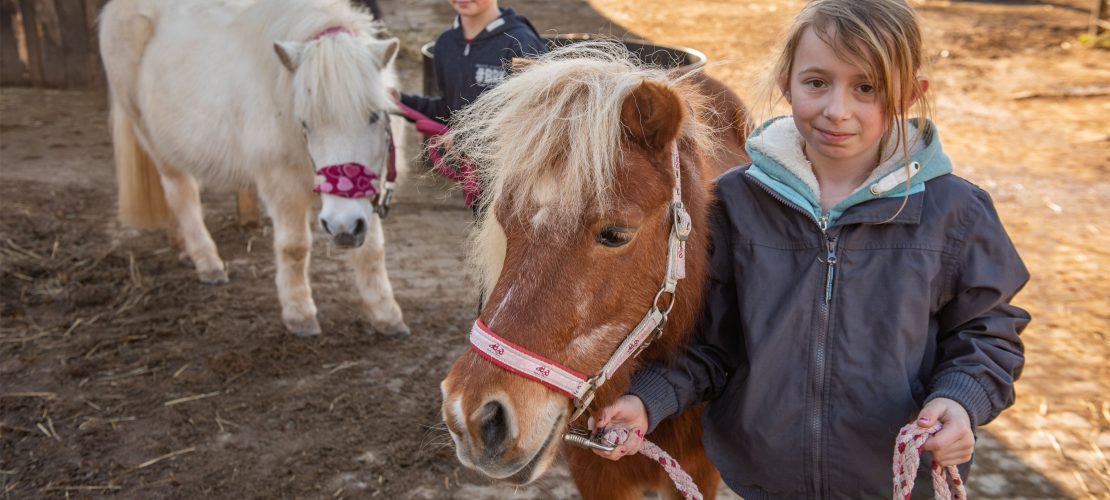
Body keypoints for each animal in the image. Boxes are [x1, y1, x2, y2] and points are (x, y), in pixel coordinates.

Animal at [99, 0, 410, 337]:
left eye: (375, 116)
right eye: (305, 123)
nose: (342, 227)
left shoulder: (367, 193)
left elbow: (372, 251)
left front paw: (386, 315)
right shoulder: (281, 184)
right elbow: (294, 247)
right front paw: (299, 315)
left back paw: (182, 248)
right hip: (151, 137)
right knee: (181, 194)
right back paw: (207, 262)